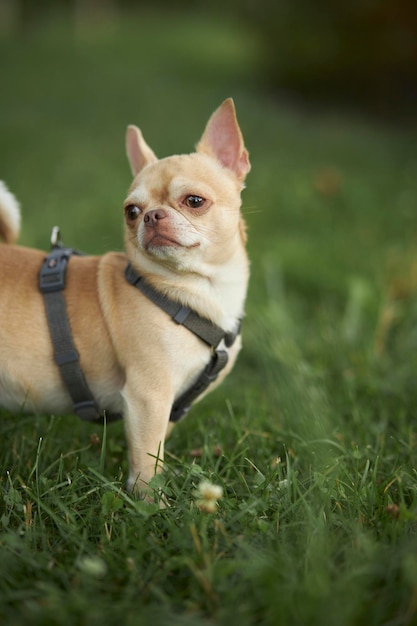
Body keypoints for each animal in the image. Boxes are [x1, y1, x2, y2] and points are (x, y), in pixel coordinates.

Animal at [0, 98, 250, 498]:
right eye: (131, 212)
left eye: (195, 201)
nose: (151, 216)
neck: (193, 291)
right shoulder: (149, 397)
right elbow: (148, 459)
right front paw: (152, 504)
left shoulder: (164, 407)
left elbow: (153, 447)